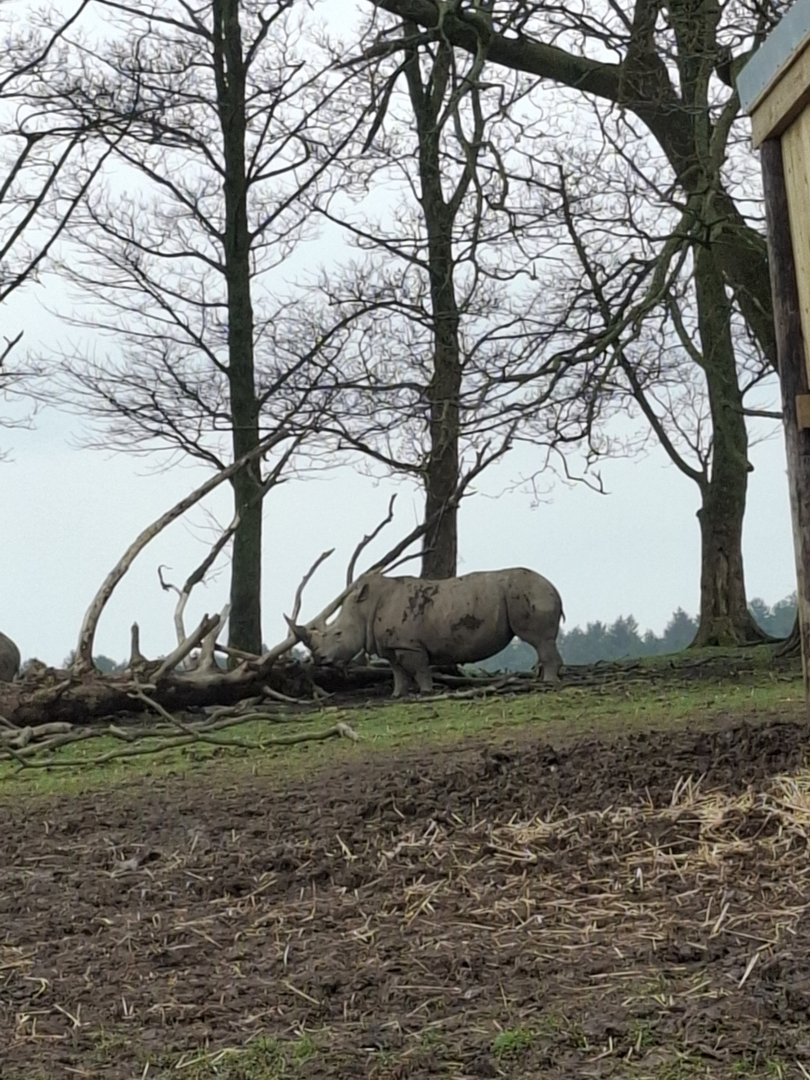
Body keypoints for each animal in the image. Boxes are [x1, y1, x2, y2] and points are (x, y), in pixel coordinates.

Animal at [288, 567, 564, 697]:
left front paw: (426, 692)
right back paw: (546, 680)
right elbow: (397, 671)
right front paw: (397, 694)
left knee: (539, 640)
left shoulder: (409, 644)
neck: (363, 609)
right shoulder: (391, 645)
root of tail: (554, 587)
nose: (320, 659)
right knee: (545, 642)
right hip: (531, 592)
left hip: (529, 592)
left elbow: (418, 669)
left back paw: (548, 683)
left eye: (337, 635)